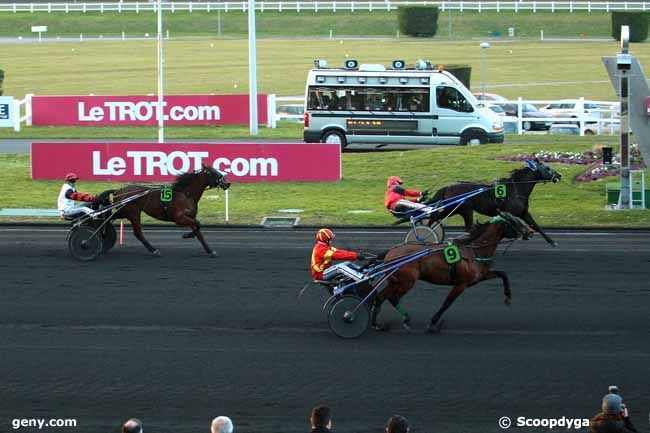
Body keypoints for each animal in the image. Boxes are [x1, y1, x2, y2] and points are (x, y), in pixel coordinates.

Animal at [370, 211, 532, 332]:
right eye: (514, 221)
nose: (530, 231)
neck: (473, 251)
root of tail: (390, 252)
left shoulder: (480, 276)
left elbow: (504, 274)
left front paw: (508, 298)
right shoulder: (461, 284)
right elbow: (447, 303)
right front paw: (433, 323)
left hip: (394, 281)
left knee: (379, 297)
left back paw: (377, 325)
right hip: (406, 282)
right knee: (392, 298)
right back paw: (405, 320)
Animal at [428, 159, 560, 246]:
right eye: (547, 168)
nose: (559, 175)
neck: (516, 188)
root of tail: (447, 187)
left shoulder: (523, 213)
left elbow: (536, 225)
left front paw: (551, 241)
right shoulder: (510, 212)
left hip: (458, 210)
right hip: (462, 209)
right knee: (438, 217)